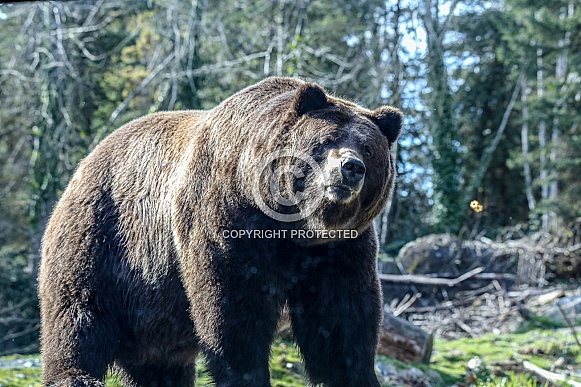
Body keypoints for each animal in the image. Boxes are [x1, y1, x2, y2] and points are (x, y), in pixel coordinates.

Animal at [38, 76, 402, 387]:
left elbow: (340, 320)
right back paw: (76, 376)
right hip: (104, 236)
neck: (296, 226)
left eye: (369, 149)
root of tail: (87, 161)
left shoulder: (339, 249)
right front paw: (247, 375)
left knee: (158, 361)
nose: (351, 168)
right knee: (78, 310)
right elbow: (234, 307)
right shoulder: (226, 220)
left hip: (154, 308)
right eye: (326, 141)